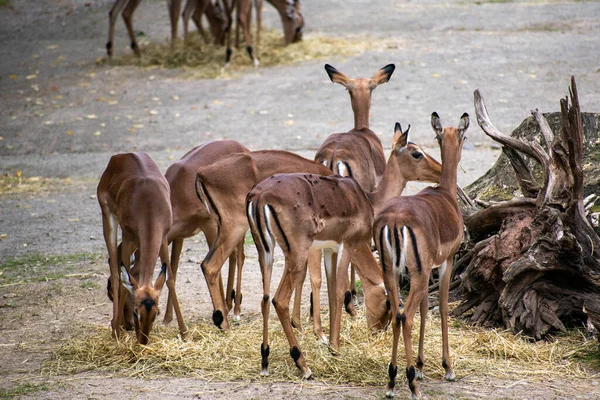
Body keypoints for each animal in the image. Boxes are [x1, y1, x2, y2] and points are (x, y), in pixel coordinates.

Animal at [97, 153, 186, 344]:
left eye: (156, 313)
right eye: (136, 311)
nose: (143, 341)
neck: (148, 206)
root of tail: (120, 156)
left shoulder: (162, 239)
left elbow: (170, 279)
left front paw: (185, 333)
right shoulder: (128, 238)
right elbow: (124, 283)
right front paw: (116, 333)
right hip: (108, 220)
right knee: (116, 272)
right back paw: (115, 328)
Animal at [246, 123, 442, 380]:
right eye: (416, 152)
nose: (440, 170)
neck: (367, 200)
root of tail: (259, 195)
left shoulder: (330, 249)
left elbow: (330, 293)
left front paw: (330, 342)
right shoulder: (347, 246)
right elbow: (339, 292)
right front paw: (335, 348)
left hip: (265, 252)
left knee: (265, 298)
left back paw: (265, 360)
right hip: (296, 254)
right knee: (280, 300)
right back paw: (303, 365)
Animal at [376, 111, 468, 396]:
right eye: (417, 152)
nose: (438, 169)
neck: (446, 195)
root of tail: (394, 220)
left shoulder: (426, 271)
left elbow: (426, 308)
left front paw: (420, 365)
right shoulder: (445, 262)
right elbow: (442, 306)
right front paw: (447, 368)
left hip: (392, 274)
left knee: (397, 314)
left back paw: (392, 381)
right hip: (416, 274)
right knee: (405, 316)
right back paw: (411, 385)